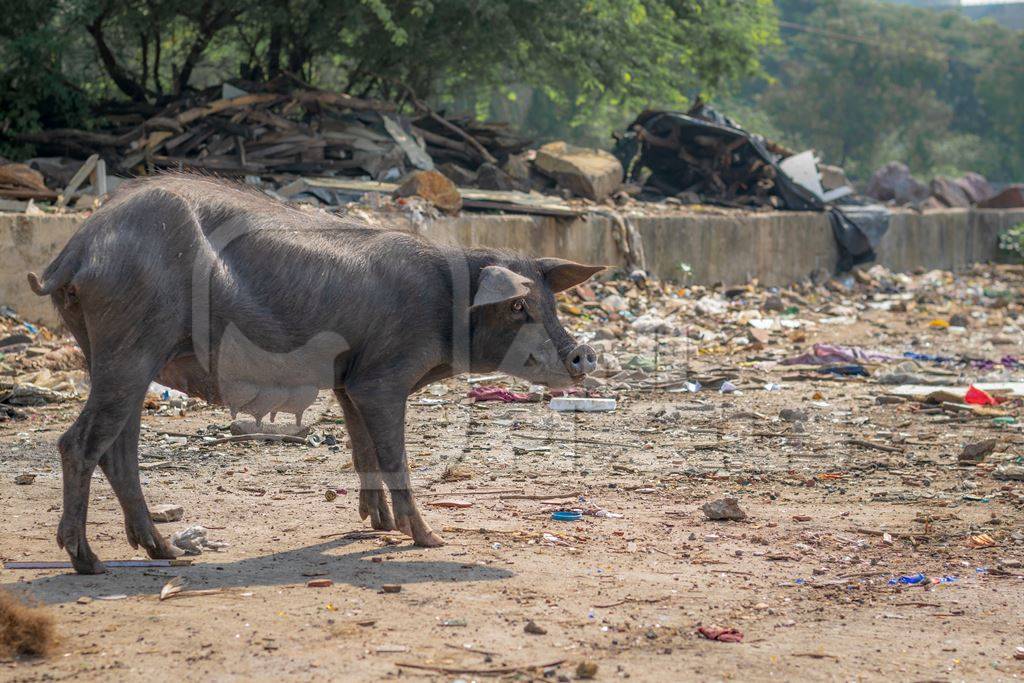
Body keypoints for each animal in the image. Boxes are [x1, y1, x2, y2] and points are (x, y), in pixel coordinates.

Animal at [25, 175, 598, 573]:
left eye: (549, 302)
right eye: (519, 306)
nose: (585, 355)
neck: (447, 304)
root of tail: (75, 251)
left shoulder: (348, 379)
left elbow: (363, 450)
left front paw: (376, 527)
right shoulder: (383, 376)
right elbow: (395, 457)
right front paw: (430, 539)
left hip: (114, 350)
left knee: (118, 451)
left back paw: (165, 553)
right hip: (129, 341)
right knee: (78, 443)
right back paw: (90, 563)